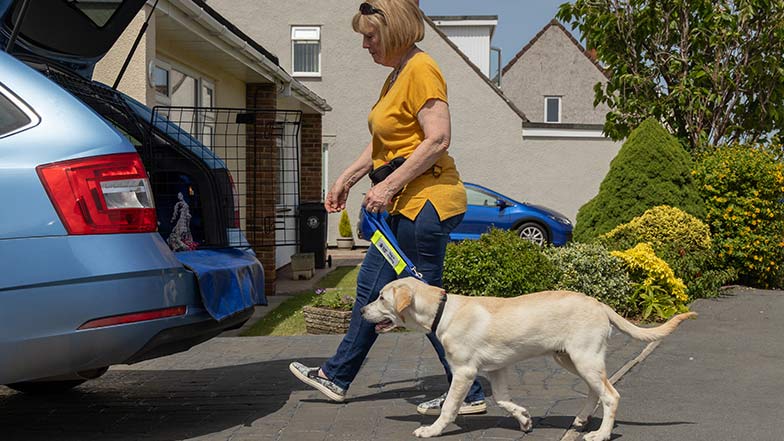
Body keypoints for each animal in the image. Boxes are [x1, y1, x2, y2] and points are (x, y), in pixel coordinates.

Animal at [358, 276, 696, 438]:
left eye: (381, 298)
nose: (361, 310)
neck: (443, 312)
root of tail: (599, 303)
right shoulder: (497, 369)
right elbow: (502, 399)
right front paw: (523, 418)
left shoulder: (464, 372)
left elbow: (450, 407)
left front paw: (432, 430)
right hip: (569, 359)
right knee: (595, 390)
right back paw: (581, 419)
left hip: (583, 357)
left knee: (611, 395)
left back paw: (600, 435)